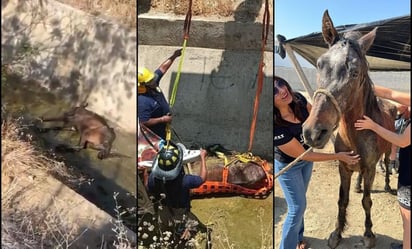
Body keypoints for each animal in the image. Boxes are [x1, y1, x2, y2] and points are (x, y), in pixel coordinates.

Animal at [300, 10, 398, 249]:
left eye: (355, 72)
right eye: (319, 64)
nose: (313, 132)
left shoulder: (370, 168)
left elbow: (367, 201)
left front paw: (369, 234)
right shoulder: (343, 167)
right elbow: (342, 199)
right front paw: (337, 233)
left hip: (387, 151)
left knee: (387, 166)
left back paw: (388, 186)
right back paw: (358, 185)